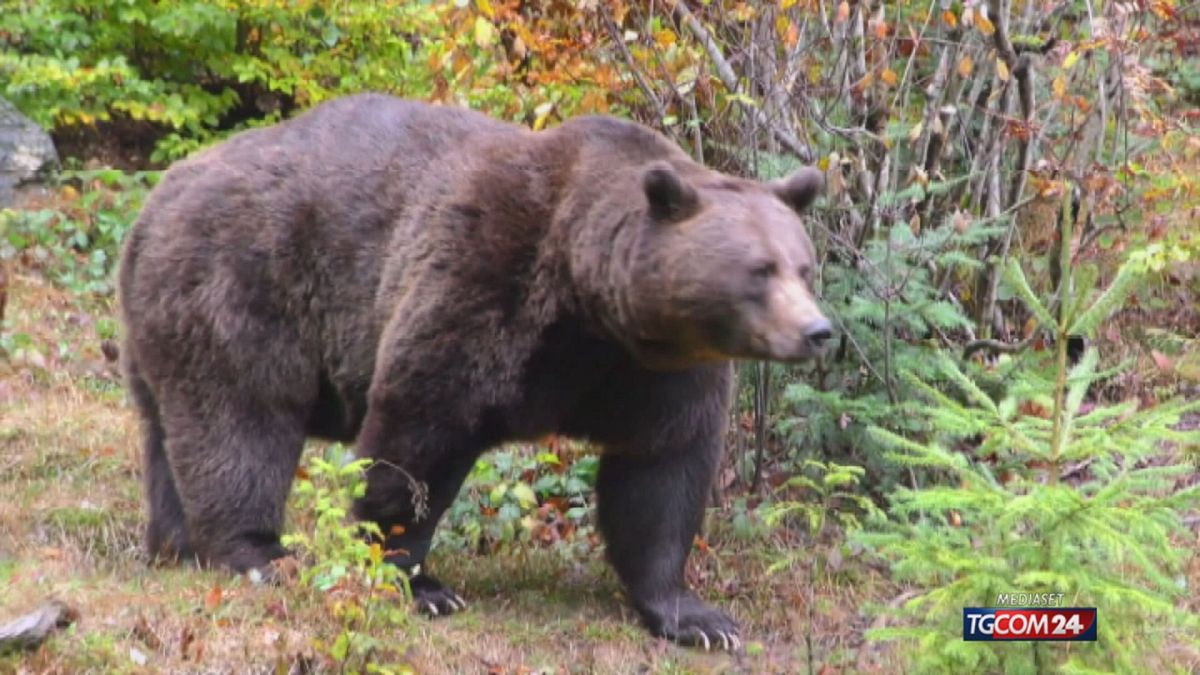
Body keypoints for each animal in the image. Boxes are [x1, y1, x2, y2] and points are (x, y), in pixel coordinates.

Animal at [121, 93, 830, 648]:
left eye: (803, 265)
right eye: (759, 270)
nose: (817, 331)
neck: (589, 304)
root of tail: (155, 198)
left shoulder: (655, 370)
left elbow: (661, 472)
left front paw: (699, 618)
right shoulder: (484, 281)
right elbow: (418, 436)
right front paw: (418, 581)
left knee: (170, 430)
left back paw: (176, 543)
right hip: (241, 280)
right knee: (243, 420)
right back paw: (258, 551)